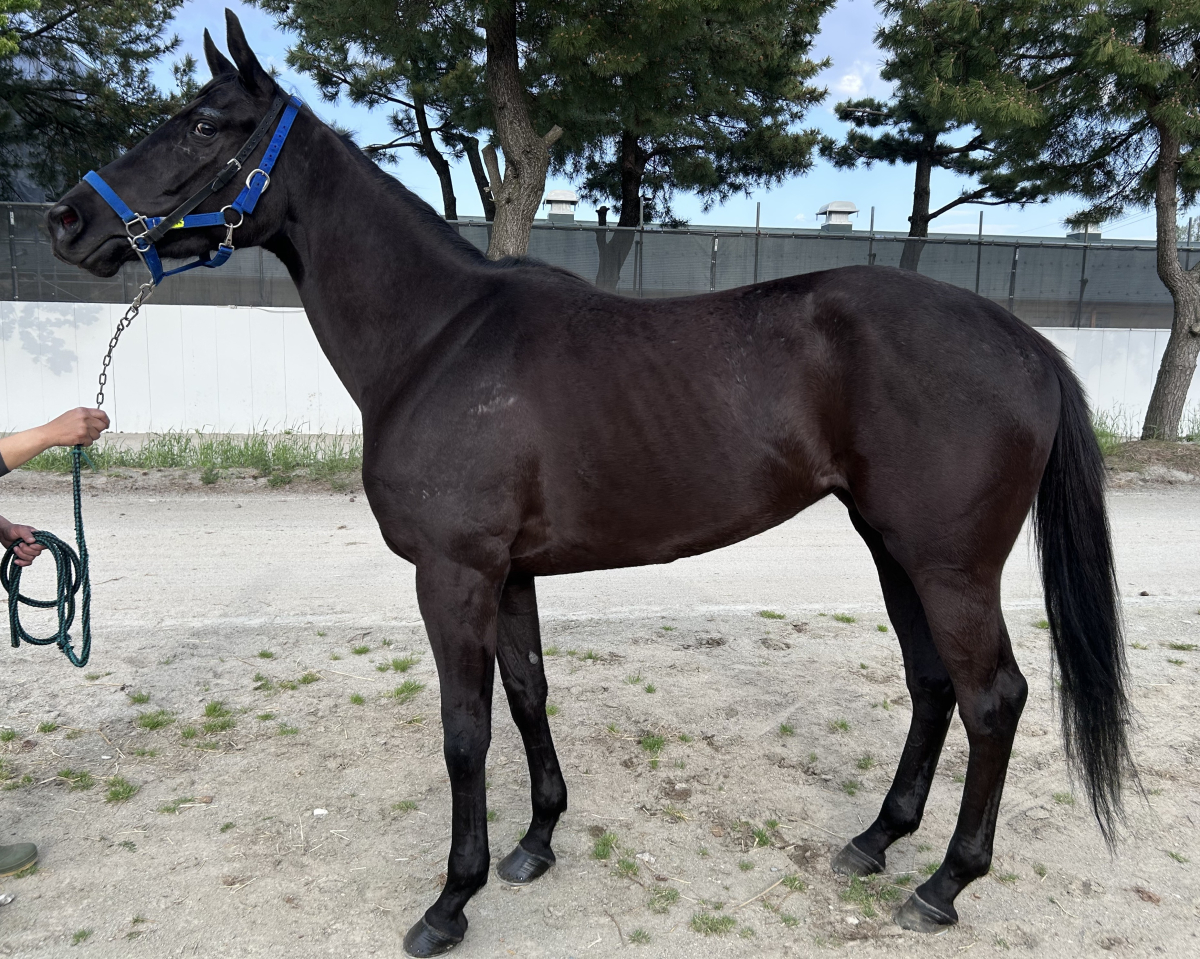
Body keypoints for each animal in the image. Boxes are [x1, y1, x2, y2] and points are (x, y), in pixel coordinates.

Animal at [47, 11, 1134, 957]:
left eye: (205, 123)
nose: (67, 218)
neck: (438, 339)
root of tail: (1025, 341)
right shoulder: (509, 573)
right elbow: (529, 693)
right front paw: (535, 843)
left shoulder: (453, 575)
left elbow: (465, 731)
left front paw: (449, 902)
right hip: (893, 546)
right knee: (932, 683)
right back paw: (875, 840)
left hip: (951, 565)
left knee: (993, 697)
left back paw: (944, 882)